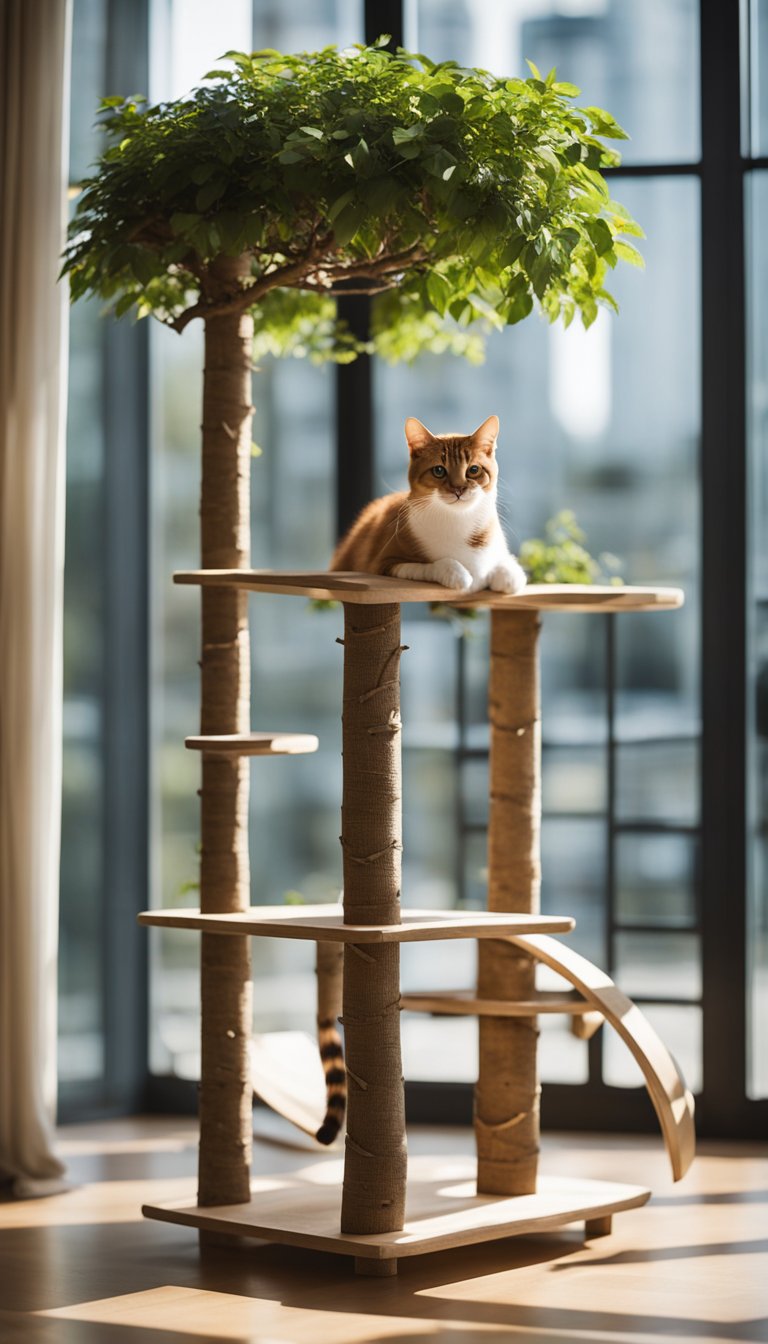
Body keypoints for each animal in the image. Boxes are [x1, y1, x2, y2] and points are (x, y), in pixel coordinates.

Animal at [330, 411, 529, 596]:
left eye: (473, 470)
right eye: (439, 471)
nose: (458, 489)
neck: (458, 520)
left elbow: (510, 571)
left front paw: (508, 575)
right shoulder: (385, 563)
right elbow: (432, 565)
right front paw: (458, 574)